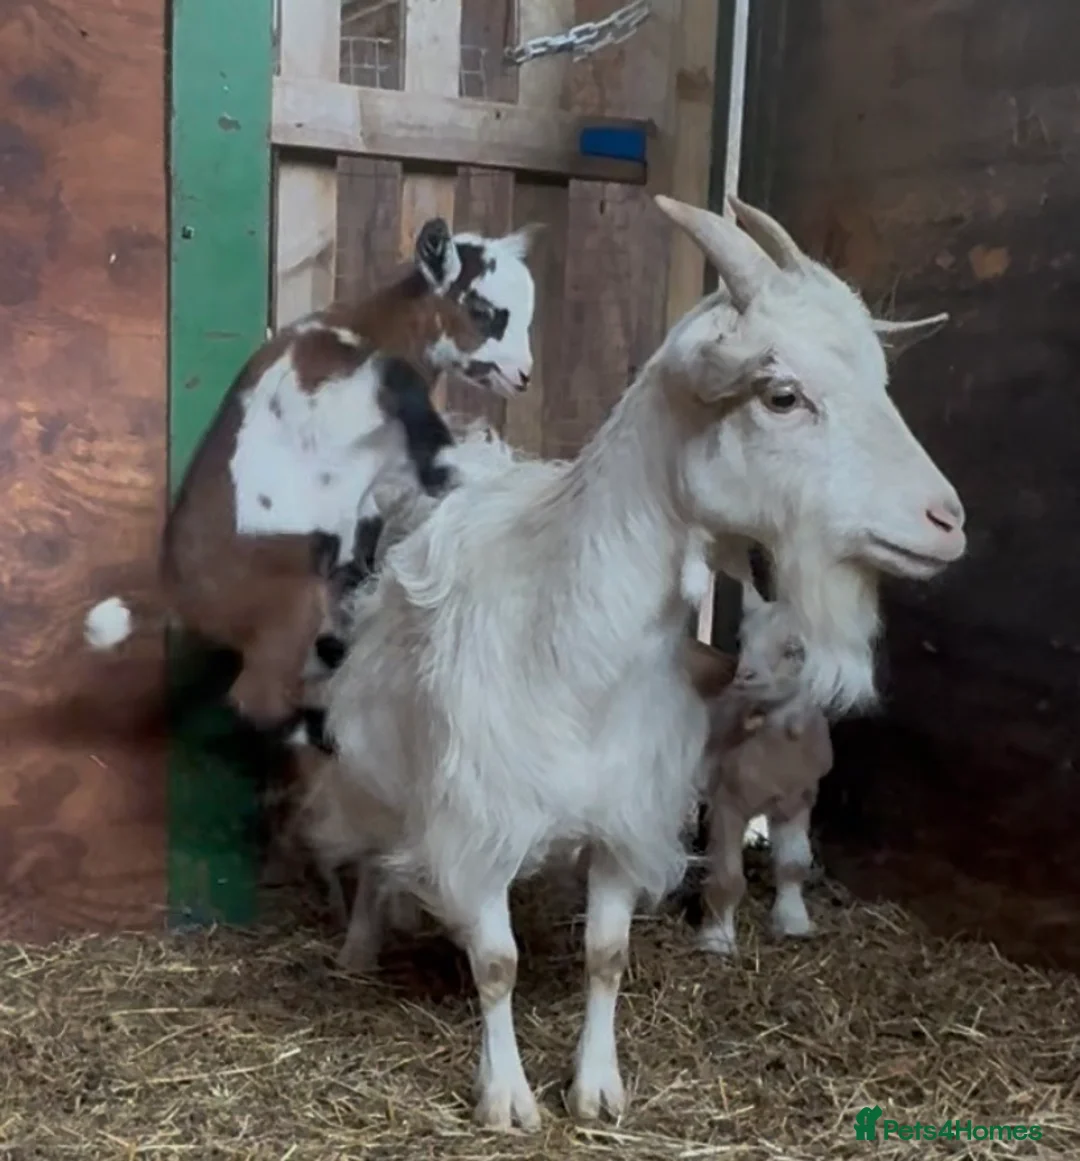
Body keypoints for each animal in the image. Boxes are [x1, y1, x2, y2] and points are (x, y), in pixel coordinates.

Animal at [81, 219, 539, 730]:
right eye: (483, 310)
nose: (523, 375)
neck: (366, 330)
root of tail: (176, 593)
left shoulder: (382, 473)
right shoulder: (332, 397)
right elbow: (412, 414)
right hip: (289, 601)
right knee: (257, 697)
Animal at [688, 584, 832, 956]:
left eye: (794, 650)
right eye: (742, 640)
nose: (744, 676)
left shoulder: (800, 798)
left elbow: (794, 862)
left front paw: (794, 922)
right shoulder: (727, 800)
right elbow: (727, 875)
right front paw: (717, 941)